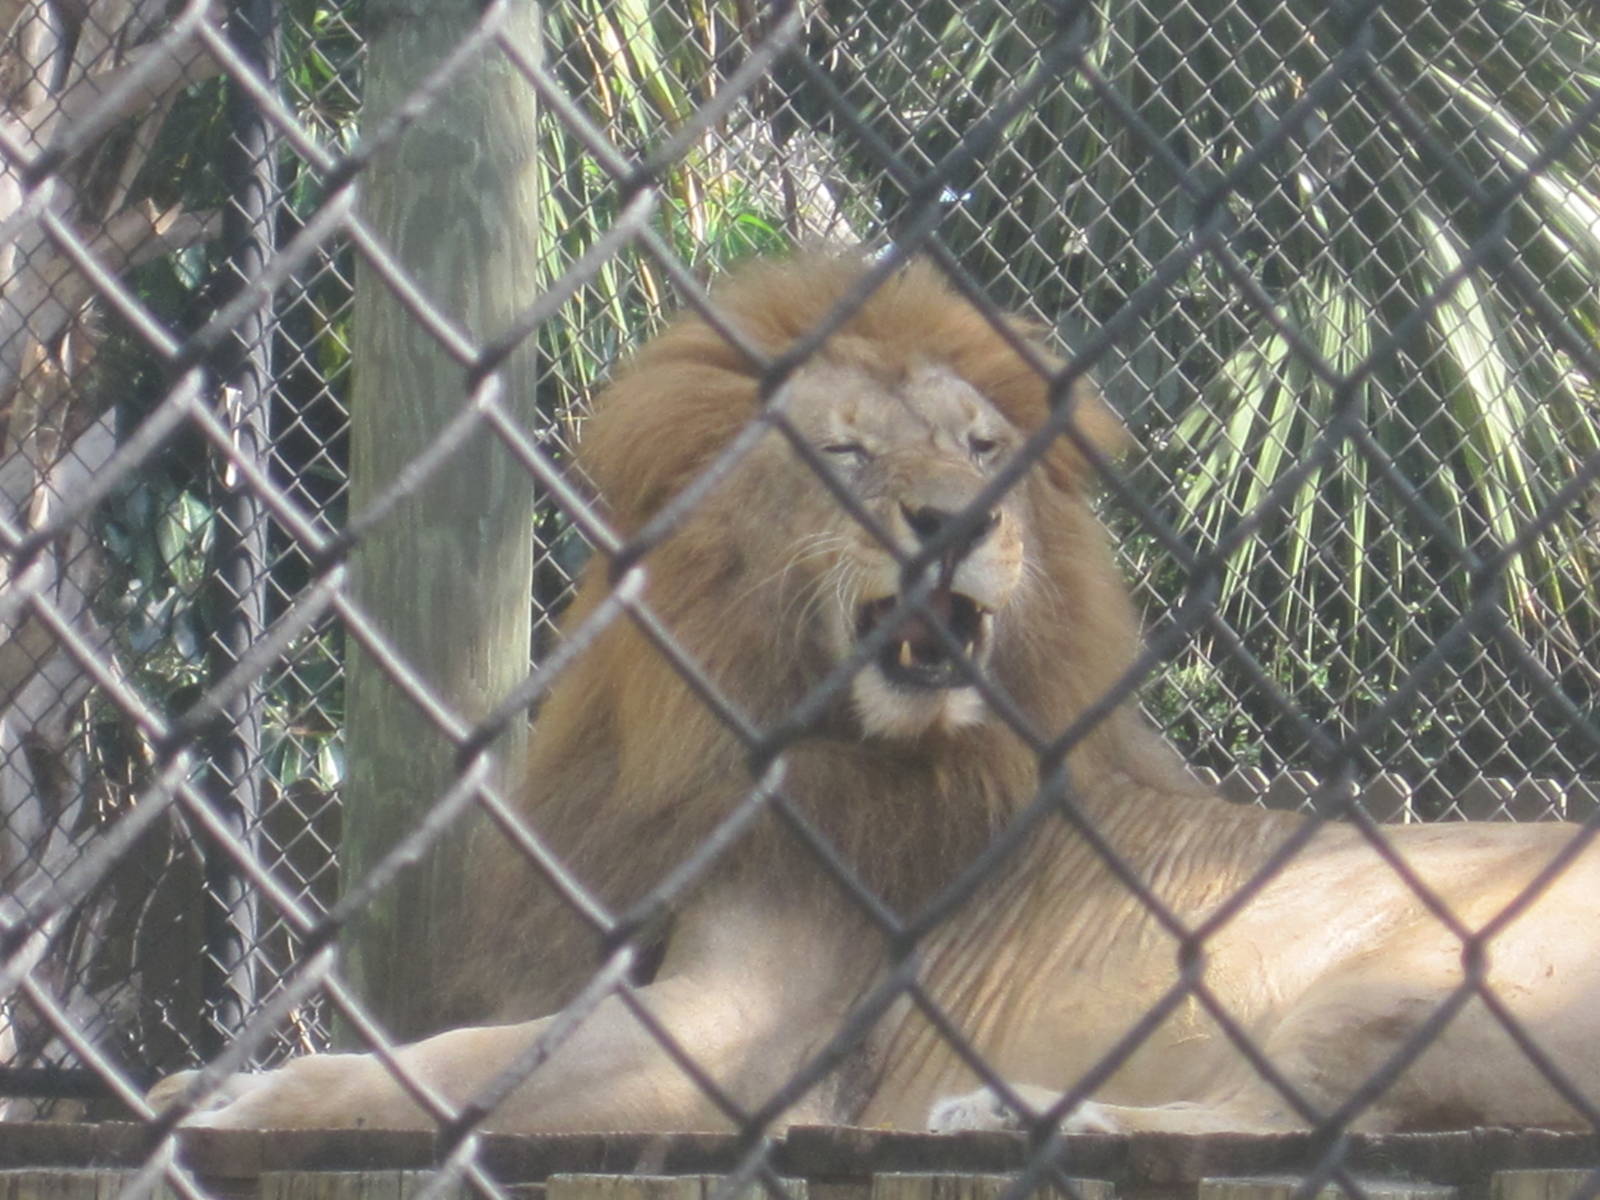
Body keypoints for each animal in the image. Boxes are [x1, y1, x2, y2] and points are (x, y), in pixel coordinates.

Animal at [156, 253, 1600, 1136]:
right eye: (845, 451)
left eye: (982, 445)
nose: (956, 517)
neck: (746, 730)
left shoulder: (743, 1032)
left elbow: (458, 1070)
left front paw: (236, 1102)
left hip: (1414, 981)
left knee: (1282, 1132)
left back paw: (1020, 1116)